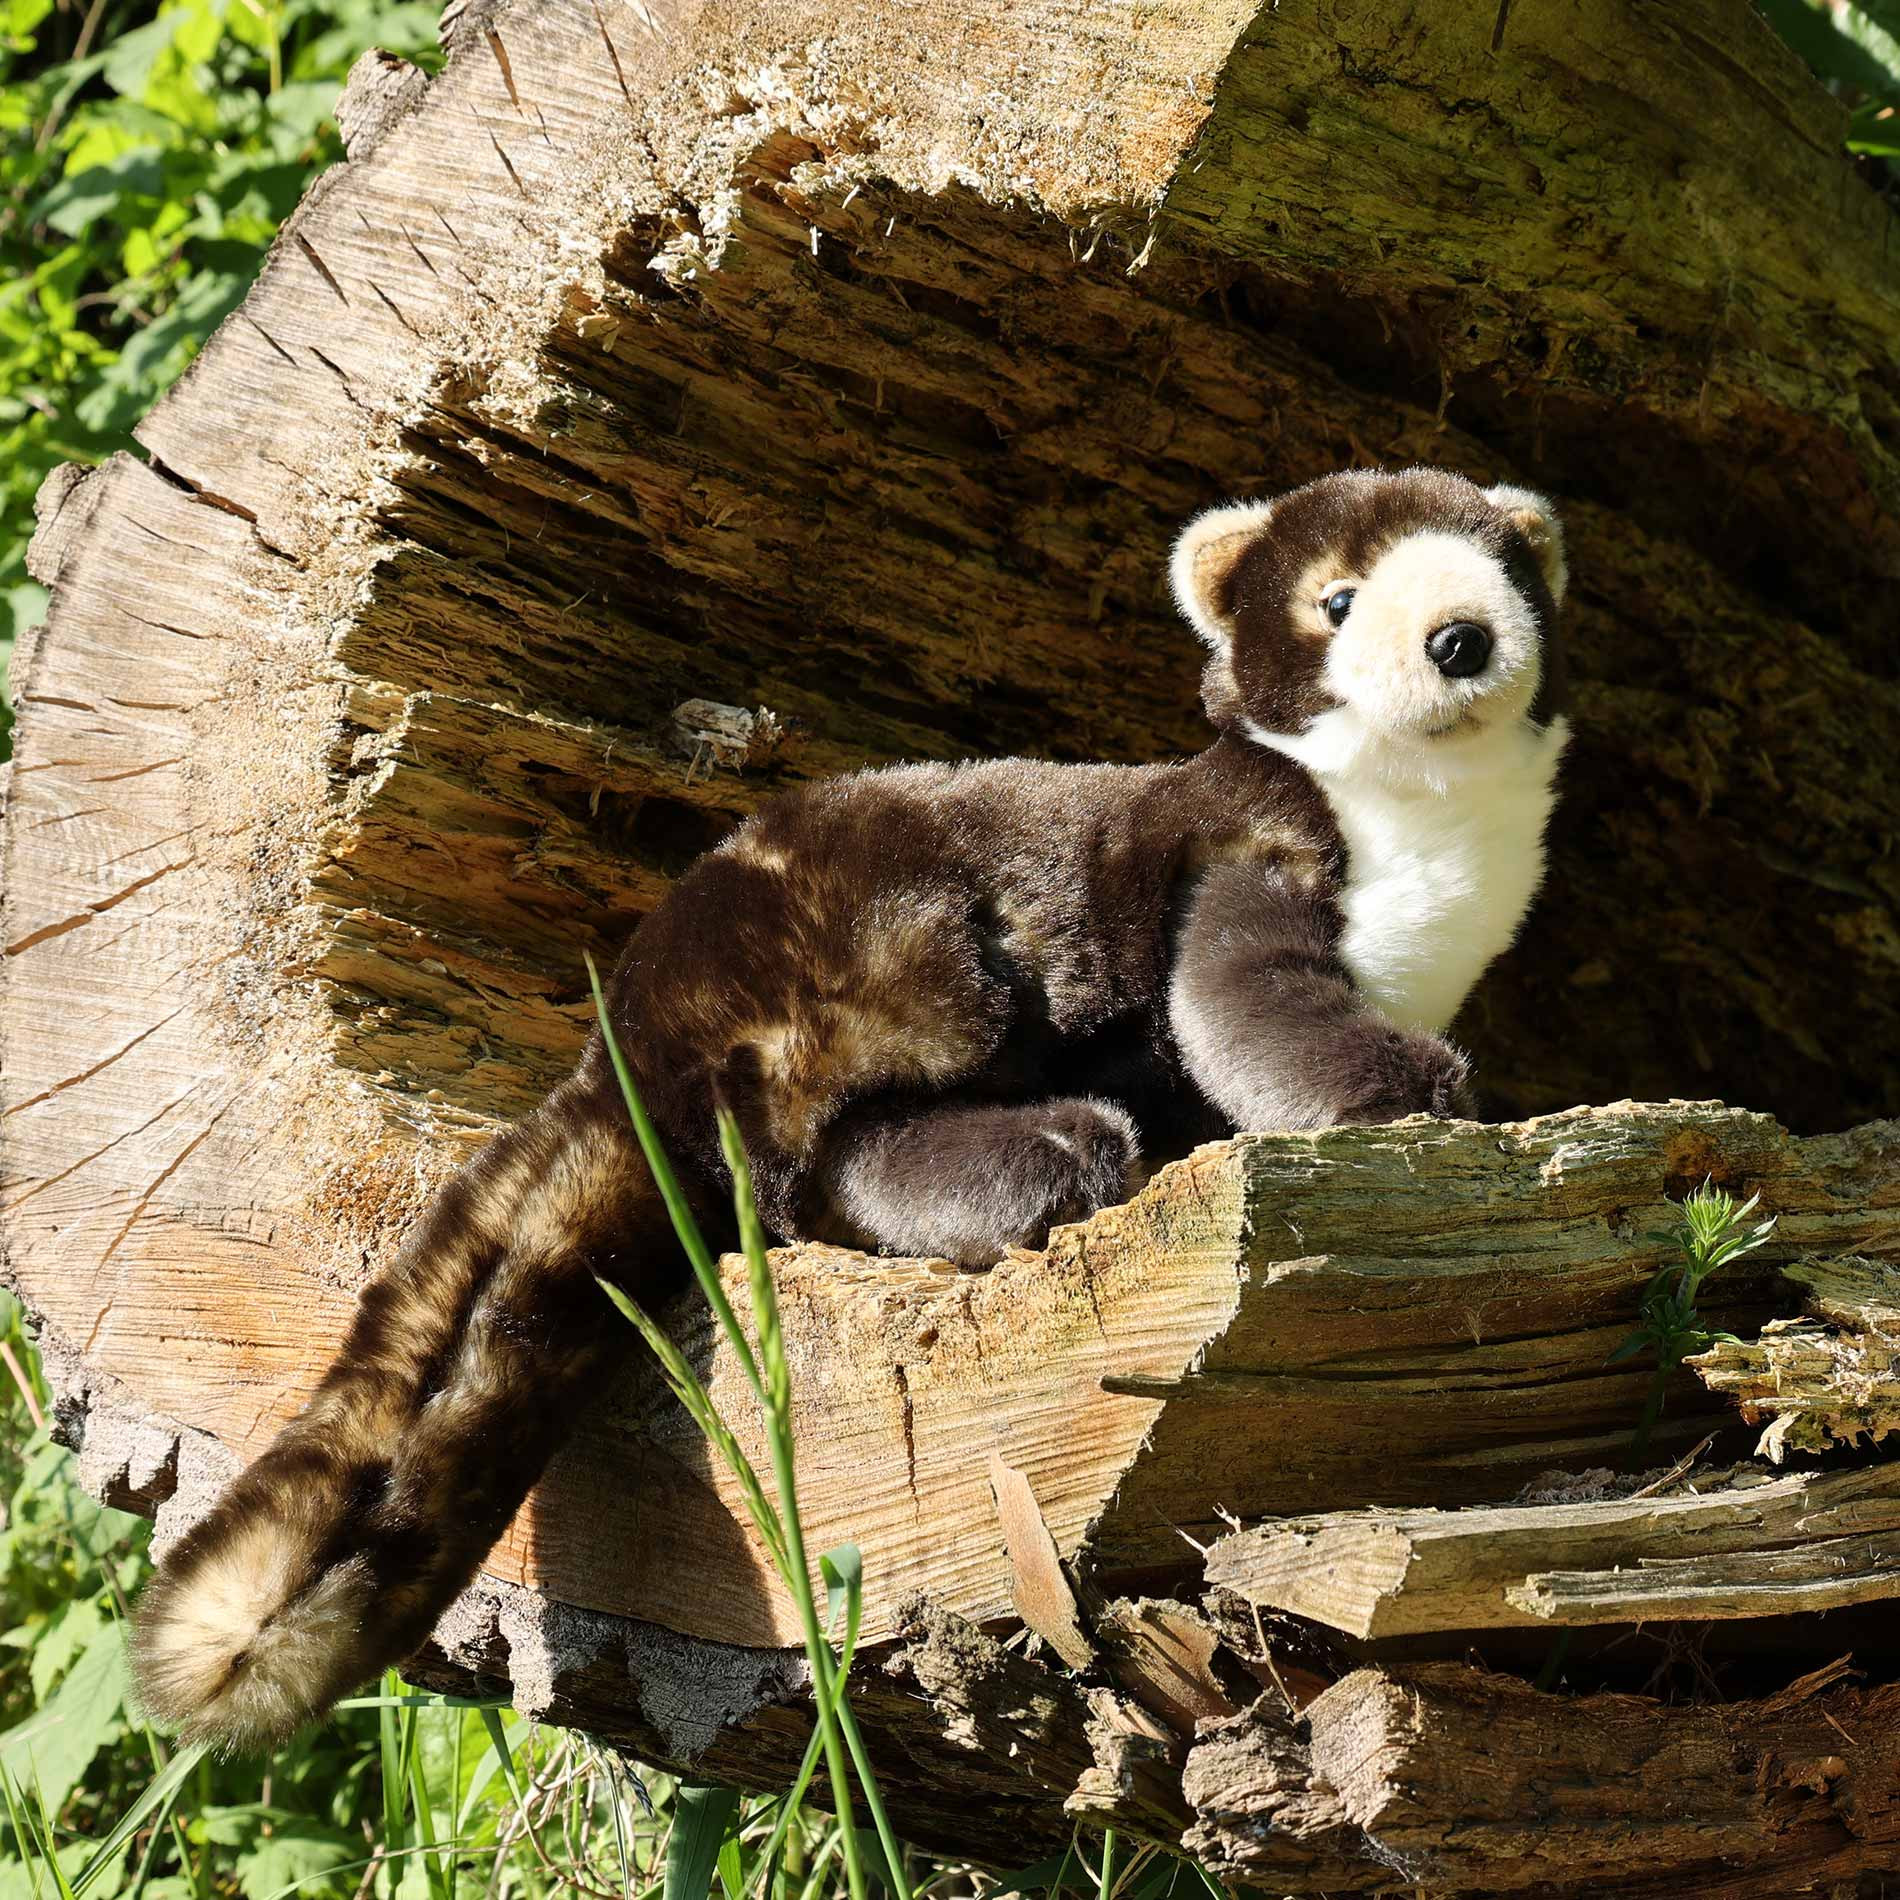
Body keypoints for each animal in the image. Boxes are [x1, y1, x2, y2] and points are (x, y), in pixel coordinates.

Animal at [131, 465, 1569, 1750]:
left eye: (1505, 566)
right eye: (1337, 597)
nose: (1458, 635)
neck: (1432, 855)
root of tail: (629, 1041)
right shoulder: (1246, 860)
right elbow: (1254, 1016)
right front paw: (1415, 1091)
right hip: (909, 970)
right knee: (828, 1166)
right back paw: (1062, 1148)